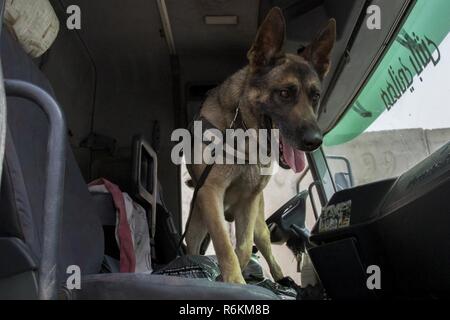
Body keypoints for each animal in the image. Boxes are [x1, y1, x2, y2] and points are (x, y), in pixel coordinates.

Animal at [185, 6, 336, 282]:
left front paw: (235, 276)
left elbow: (243, 248)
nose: (315, 142)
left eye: (315, 96)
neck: (244, 135)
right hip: (197, 222)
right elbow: (224, 245)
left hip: (259, 224)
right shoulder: (210, 193)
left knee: (264, 246)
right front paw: (234, 281)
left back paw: (280, 278)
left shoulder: (249, 202)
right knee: (193, 245)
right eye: (285, 93)